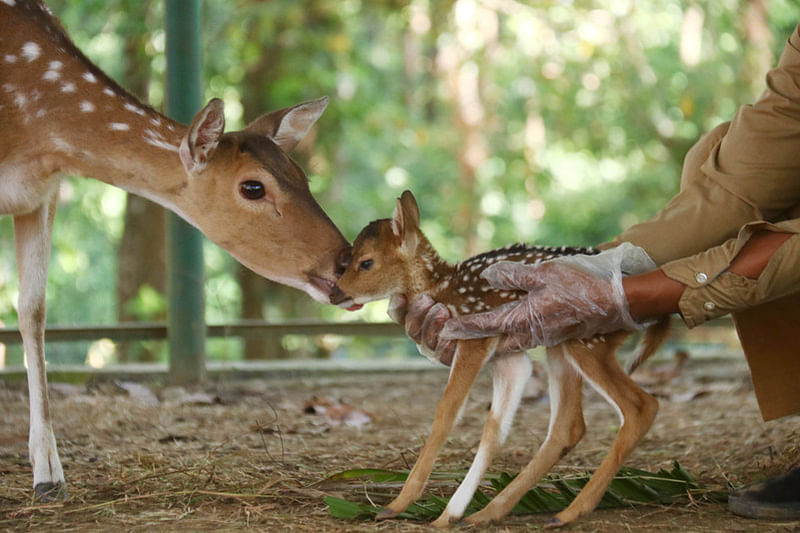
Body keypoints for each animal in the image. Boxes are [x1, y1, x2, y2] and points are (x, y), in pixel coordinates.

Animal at [1, 0, 348, 498]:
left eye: (301, 174)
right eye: (253, 187)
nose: (345, 260)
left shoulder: (42, 192)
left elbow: (33, 310)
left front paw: (48, 474)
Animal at [332, 190, 668, 524]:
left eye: (365, 262)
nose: (335, 292)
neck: (442, 289)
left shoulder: (474, 337)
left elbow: (446, 414)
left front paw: (401, 504)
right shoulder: (508, 358)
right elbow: (495, 427)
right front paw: (452, 514)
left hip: (587, 340)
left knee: (642, 406)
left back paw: (571, 510)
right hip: (558, 343)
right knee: (568, 426)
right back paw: (492, 512)